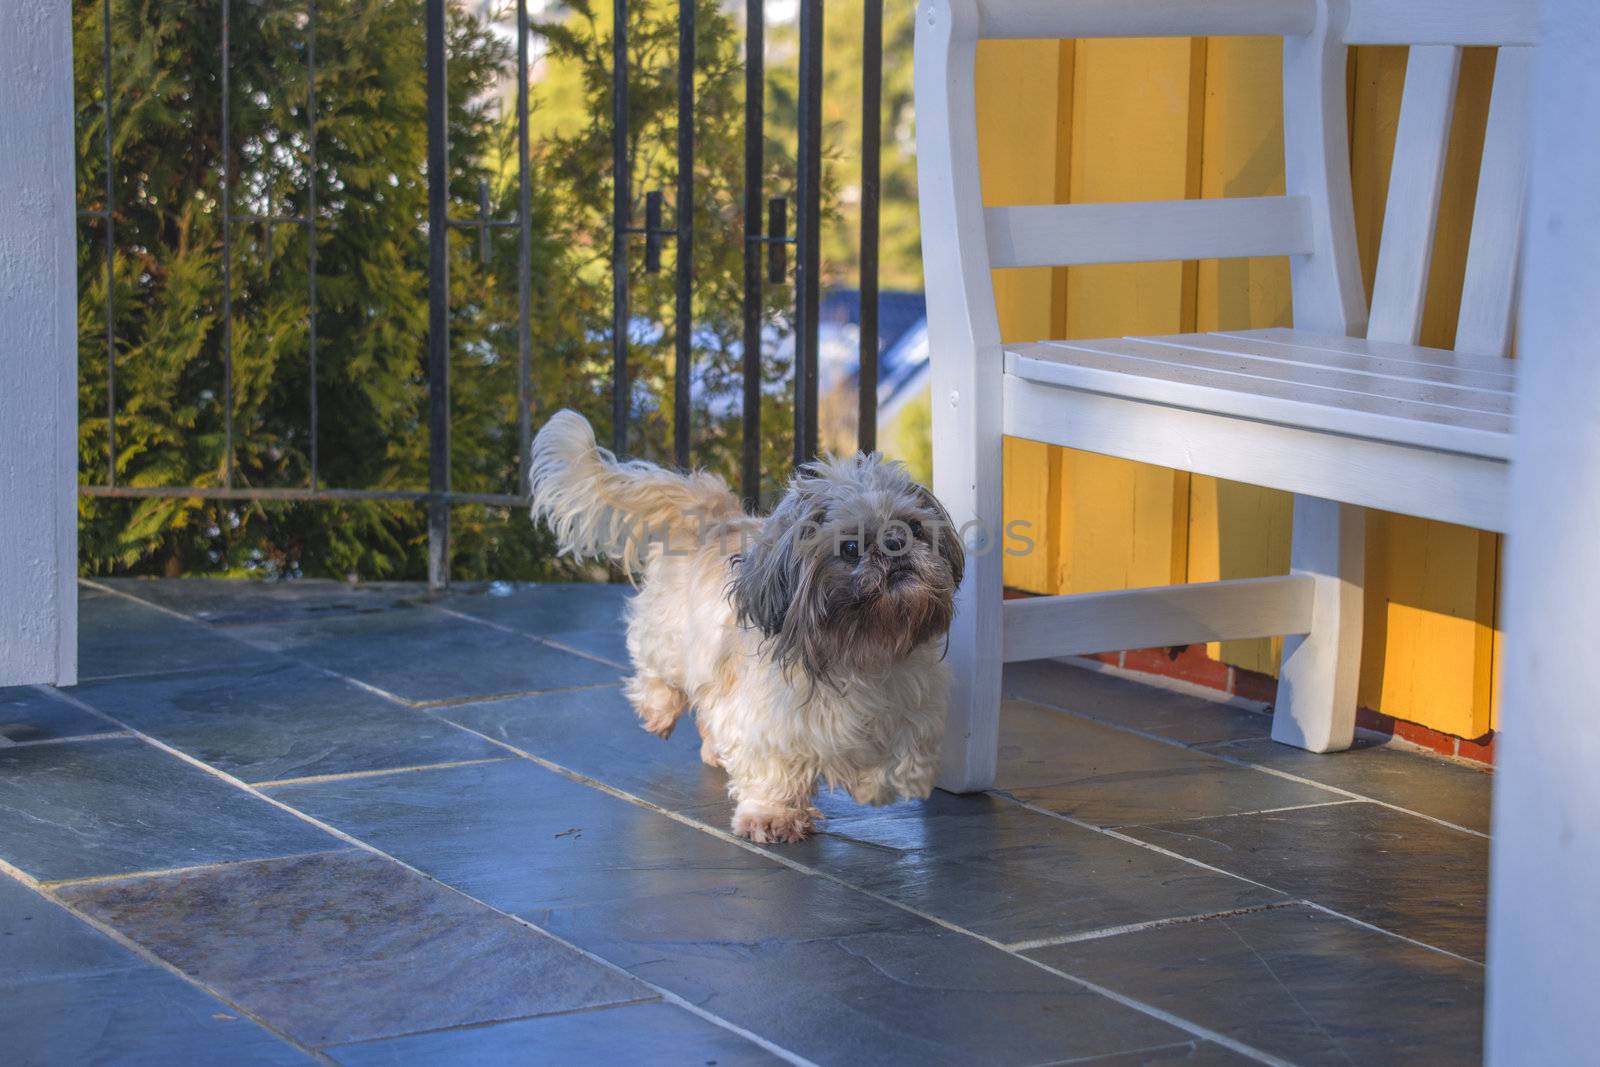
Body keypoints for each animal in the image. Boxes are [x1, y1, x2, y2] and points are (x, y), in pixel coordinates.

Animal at [531, 409, 966, 844]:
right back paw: (660, 711)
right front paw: (773, 816)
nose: (896, 540)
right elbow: (772, 773)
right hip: (671, 640)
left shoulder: (912, 710)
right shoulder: (764, 721)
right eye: (850, 547)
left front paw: (874, 787)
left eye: (915, 527)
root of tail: (714, 514)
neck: (860, 648)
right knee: (659, 673)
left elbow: (900, 763)